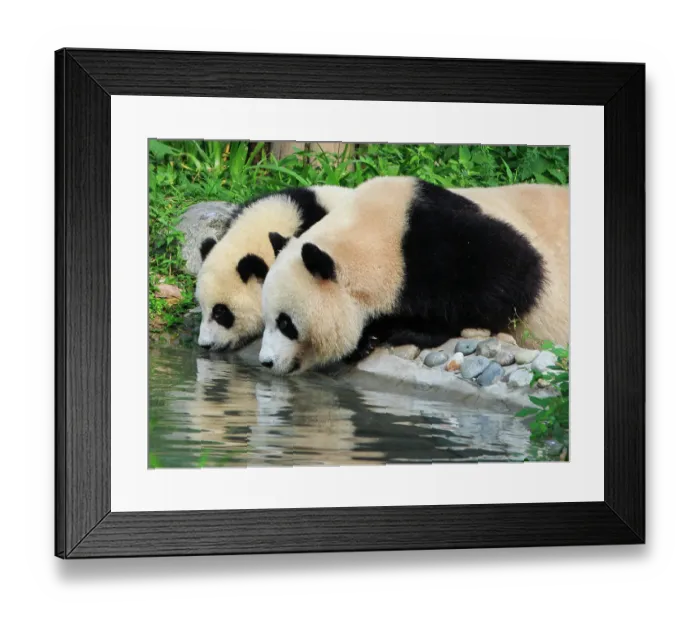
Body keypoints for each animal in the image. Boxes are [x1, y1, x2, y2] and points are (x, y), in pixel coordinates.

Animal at [258, 176, 569, 375]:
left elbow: (516, 276)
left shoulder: (436, 242)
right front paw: (367, 338)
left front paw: (401, 330)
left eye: (286, 323)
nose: (266, 362)